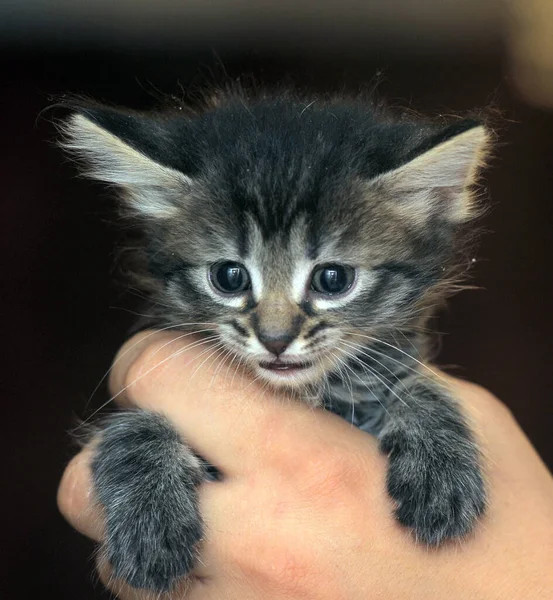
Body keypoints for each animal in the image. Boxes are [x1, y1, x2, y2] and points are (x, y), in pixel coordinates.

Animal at [60, 91, 490, 592]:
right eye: (228, 277)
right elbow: (131, 426)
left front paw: (440, 462)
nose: (275, 339)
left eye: (333, 279)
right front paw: (150, 518)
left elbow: (418, 386)